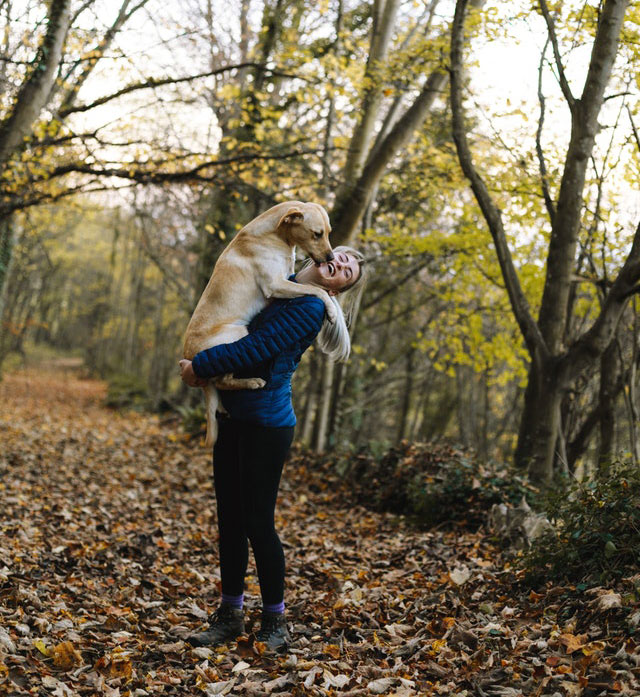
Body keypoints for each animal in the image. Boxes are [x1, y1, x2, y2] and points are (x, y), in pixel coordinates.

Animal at [182, 200, 338, 446]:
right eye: (317, 234)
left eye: (328, 233)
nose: (331, 258)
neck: (275, 235)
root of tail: (189, 355)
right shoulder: (275, 285)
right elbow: (316, 290)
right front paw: (331, 309)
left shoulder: (286, 280)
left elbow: (311, 287)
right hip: (237, 333)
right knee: (224, 380)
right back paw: (252, 382)